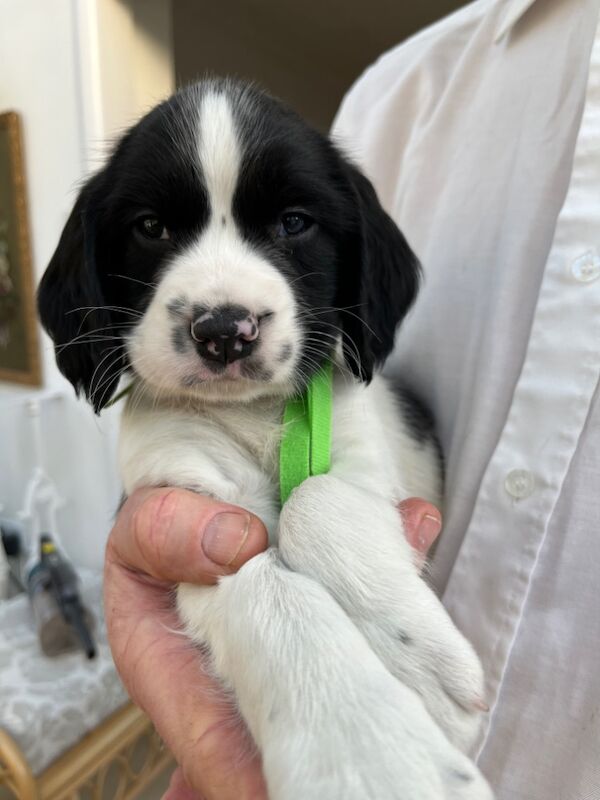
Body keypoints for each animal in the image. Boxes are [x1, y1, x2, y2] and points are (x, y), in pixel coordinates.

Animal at [37, 76, 492, 800]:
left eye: (293, 223)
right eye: (151, 227)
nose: (225, 330)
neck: (256, 417)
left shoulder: (363, 463)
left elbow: (315, 502)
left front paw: (416, 658)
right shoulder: (201, 520)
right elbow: (263, 588)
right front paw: (371, 758)